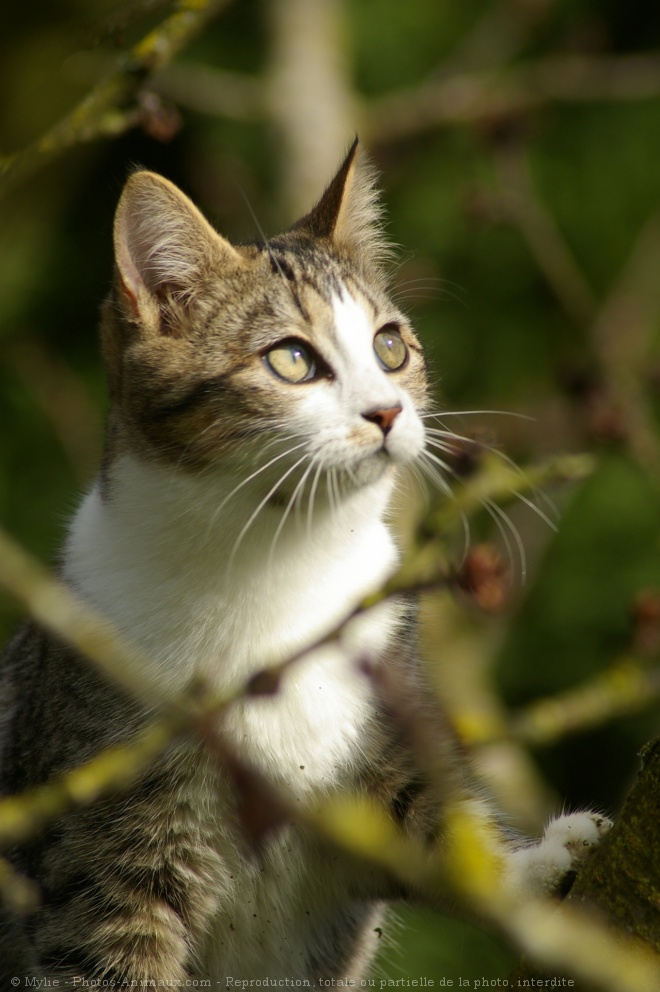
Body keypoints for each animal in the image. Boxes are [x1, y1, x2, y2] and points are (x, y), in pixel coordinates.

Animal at [0, 143, 612, 988]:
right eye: (291, 359)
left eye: (391, 345)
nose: (388, 411)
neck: (277, 562)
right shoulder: (100, 857)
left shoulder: (379, 726)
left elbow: (435, 821)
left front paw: (530, 867)